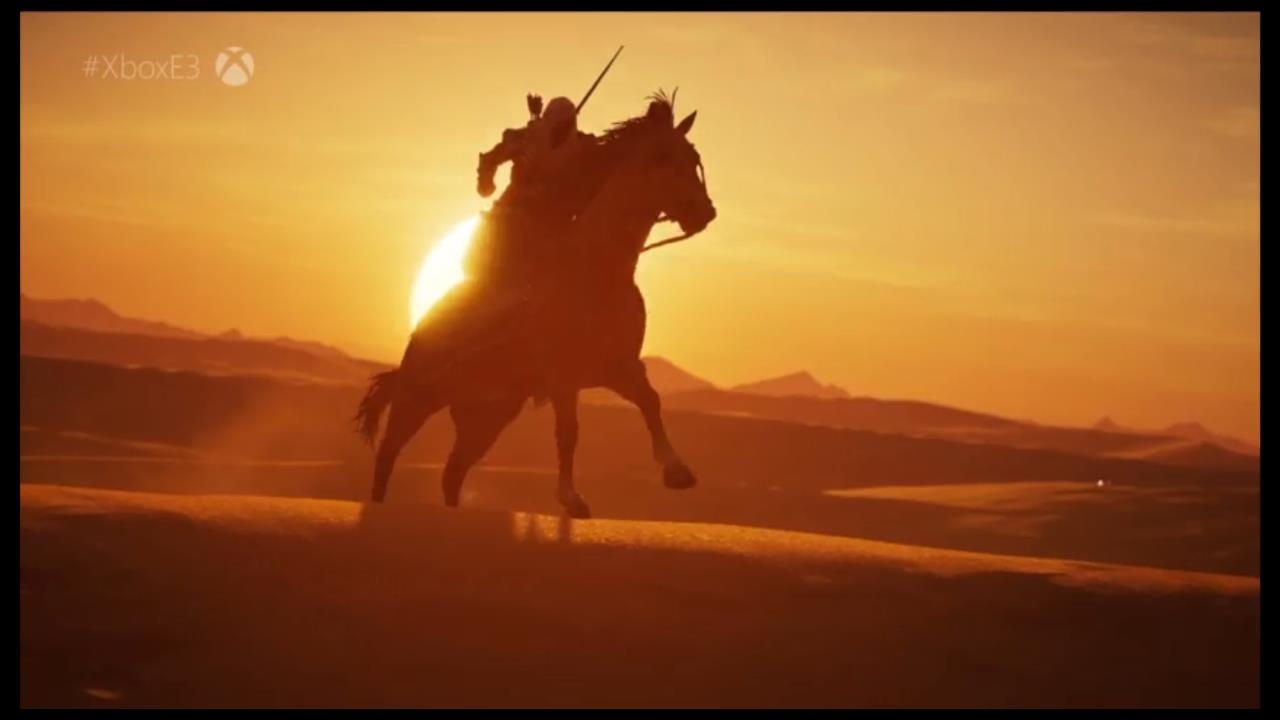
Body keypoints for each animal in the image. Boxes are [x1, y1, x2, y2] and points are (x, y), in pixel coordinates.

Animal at [355, 92, 716, 518]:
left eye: (693, 158)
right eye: (663, 157)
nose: (704, 214)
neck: (598, 270)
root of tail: (419, 335)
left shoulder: (618, 368)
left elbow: (651, 401)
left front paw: (677, 470)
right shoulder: (563, 377)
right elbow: (568, 433)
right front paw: (571, 499)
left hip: (486, 417)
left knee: (452, 473)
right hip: (417, 399)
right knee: (387, 456)